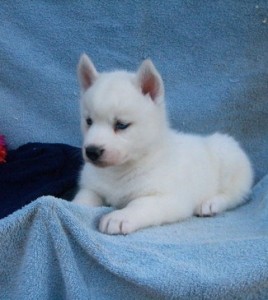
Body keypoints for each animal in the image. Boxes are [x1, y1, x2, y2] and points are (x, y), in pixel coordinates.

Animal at [73, 55, 253, 236]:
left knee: (233, 195)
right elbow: (84, 198)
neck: (118, 171)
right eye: (89, 121)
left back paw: (210, 204)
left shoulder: (168, 199)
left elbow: (139, 204)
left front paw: (119, 217)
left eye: (121, 125)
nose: (92, 151)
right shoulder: (91, 187)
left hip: (228, 157)